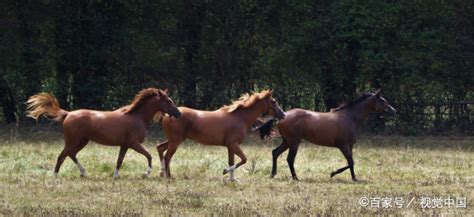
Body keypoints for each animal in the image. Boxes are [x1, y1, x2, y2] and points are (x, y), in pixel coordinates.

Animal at [26, 88, 181, 178]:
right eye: (168, 100)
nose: (178, 113)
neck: (137, 117)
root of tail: (68, 114)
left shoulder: (125, 145)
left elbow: (119, 160)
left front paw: (116, 175)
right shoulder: (133, 143)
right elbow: (148, 155)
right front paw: (146, 173)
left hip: (83, 141)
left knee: (71, 154)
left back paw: (83, 172)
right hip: (72, 141)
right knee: (62, 156)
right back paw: (56, 177)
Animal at [157, 89, 286, 181]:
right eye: (274, 102)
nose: (283, 114)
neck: (240, 118)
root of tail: (168, 115)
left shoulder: (230, 146)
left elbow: (232, 161)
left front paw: (232, 180)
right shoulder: (233, 144)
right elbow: (243, 159)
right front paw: (225, 171)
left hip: (174, 140)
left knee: (160, 148)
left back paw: (162, 173)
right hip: (175, 141)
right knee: (167, 156)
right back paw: (168, 176)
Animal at [258, 89, 394, 181]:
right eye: (382, 101)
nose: (394, 111)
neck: (349, 117)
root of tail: (282, 116)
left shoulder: (350, 146)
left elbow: (351, 162)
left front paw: (354, 178)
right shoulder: (343, 146)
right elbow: (351, 162)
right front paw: (333, 173)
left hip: (287, 141)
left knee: (275, 152)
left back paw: (273, 174)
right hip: (294, 142)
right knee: (289, 159)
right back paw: (296, 178)